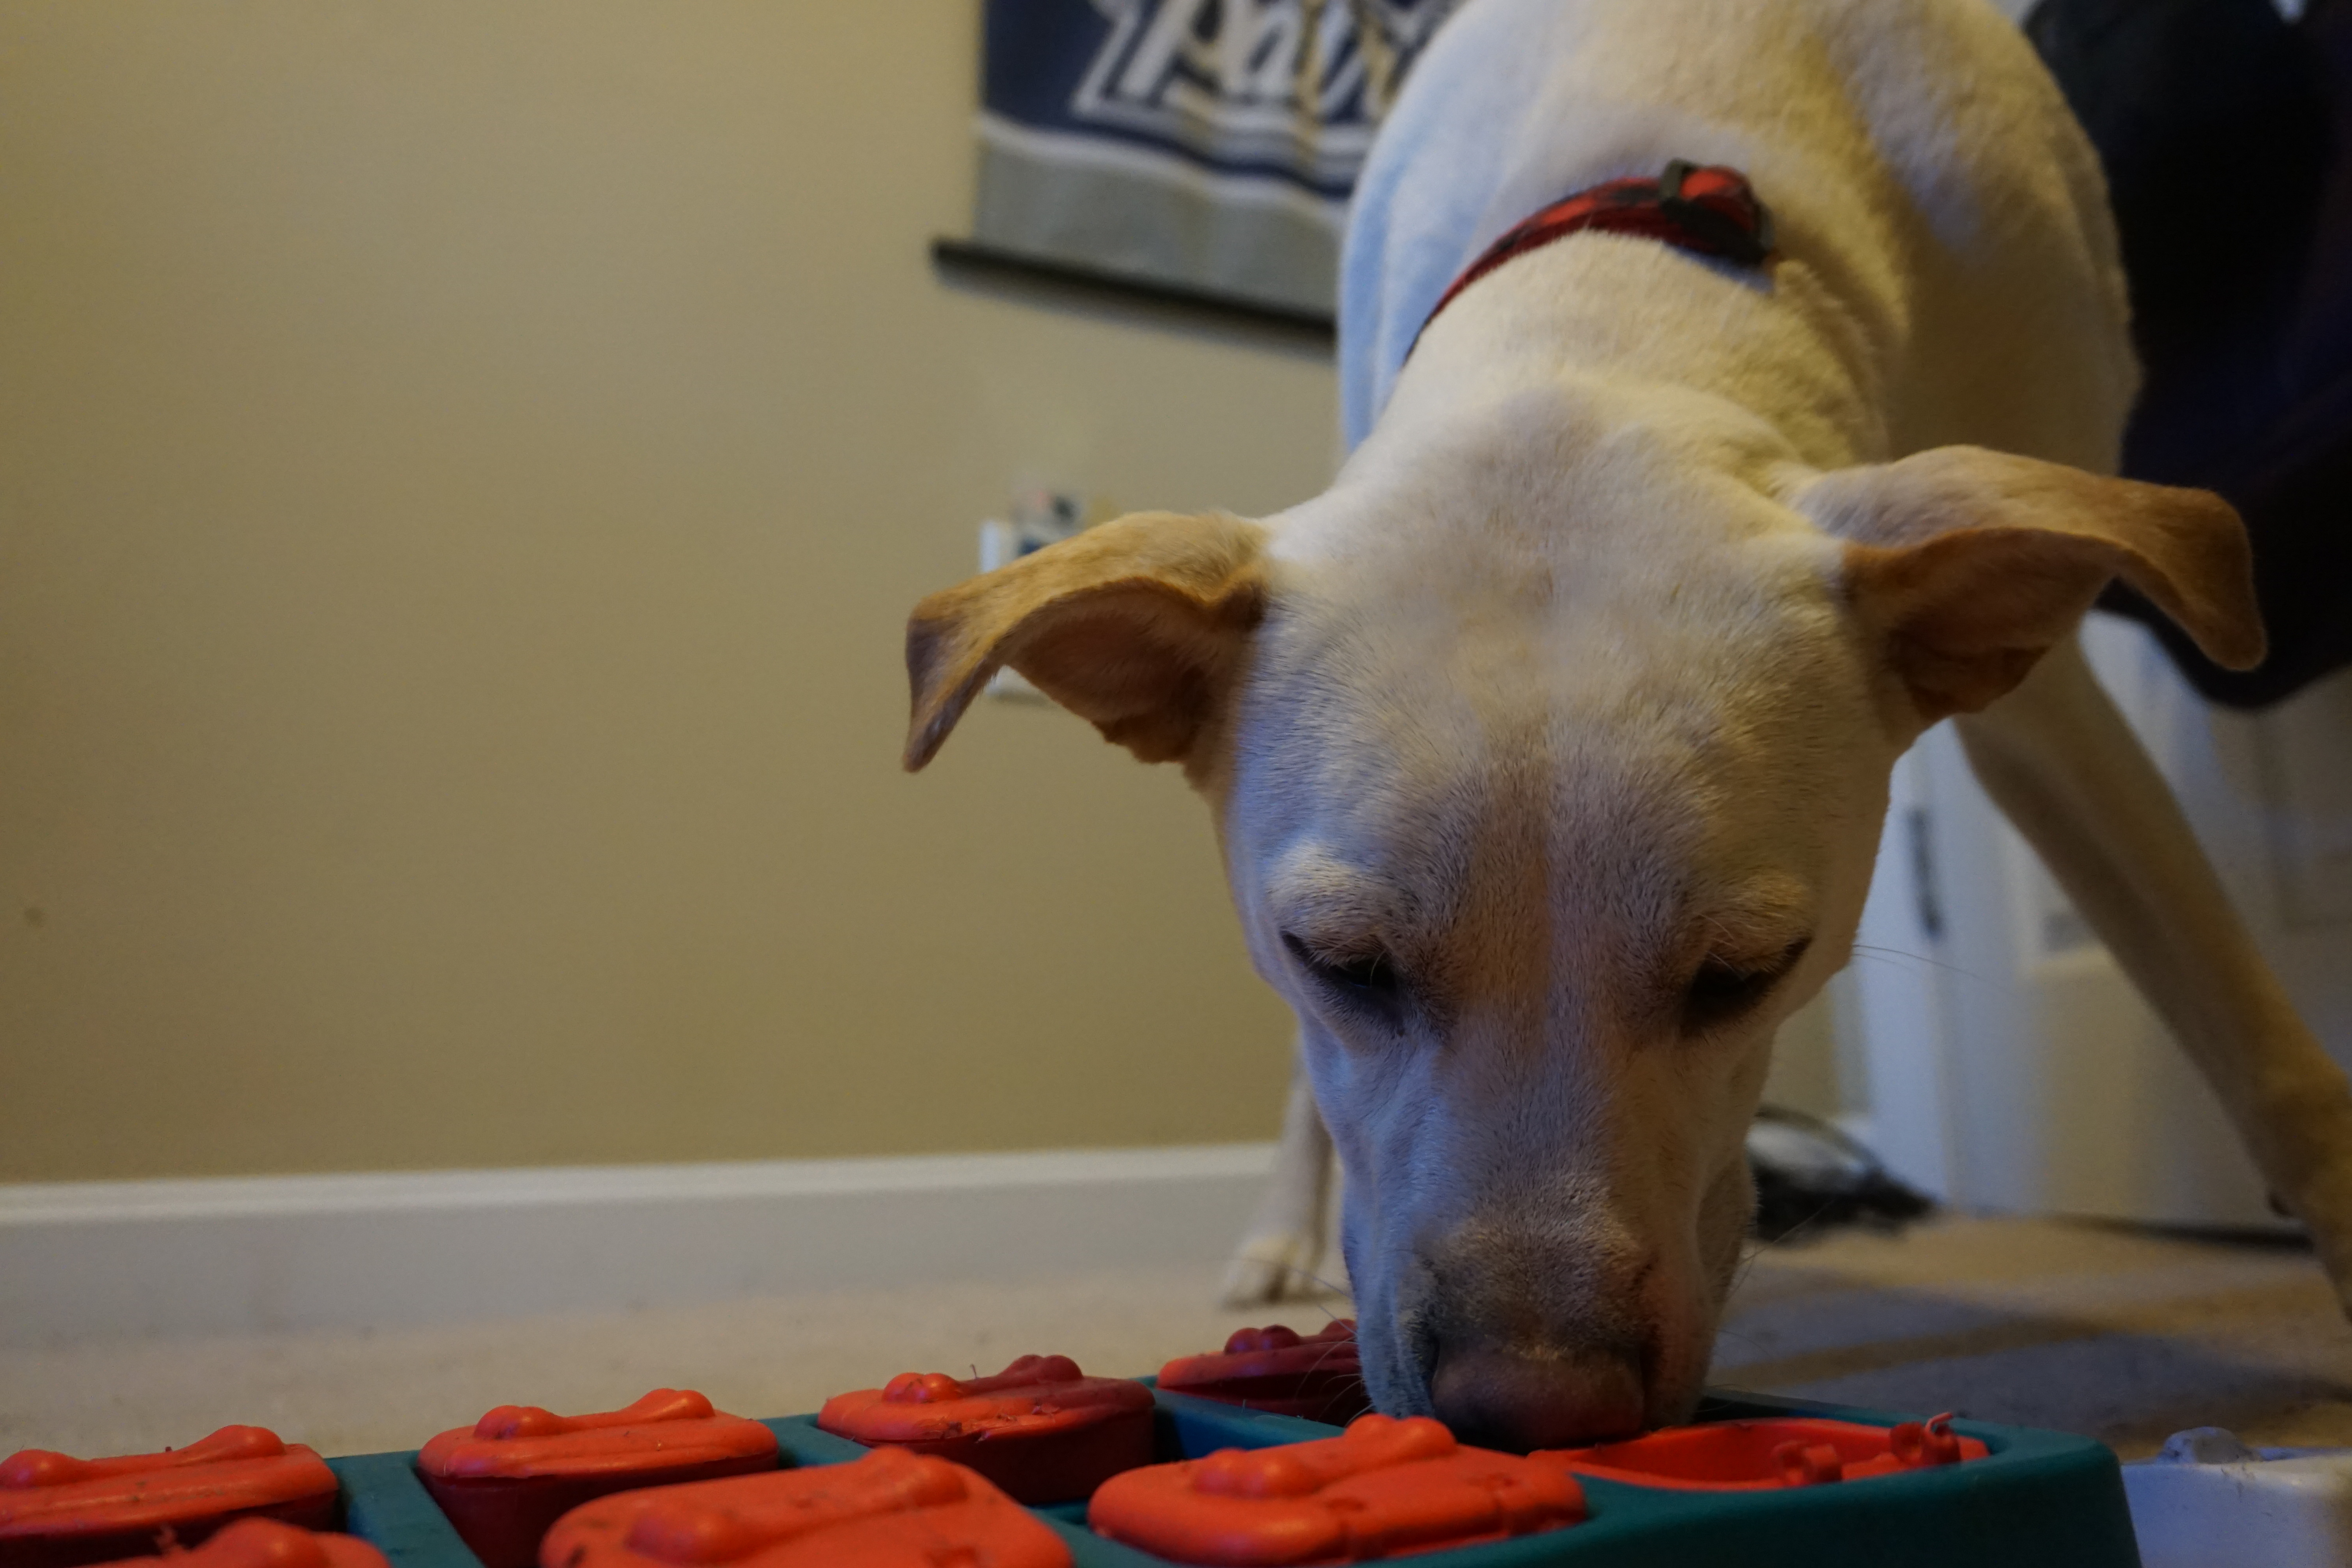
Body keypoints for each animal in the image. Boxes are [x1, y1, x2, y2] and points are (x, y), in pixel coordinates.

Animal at [902, 0, 2352, 1451]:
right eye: (1340, 961)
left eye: (1749, 971)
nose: (1534, 1404)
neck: (1610, 317)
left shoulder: (2049, 702)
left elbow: (2258, 1040)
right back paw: (1275, 1238)